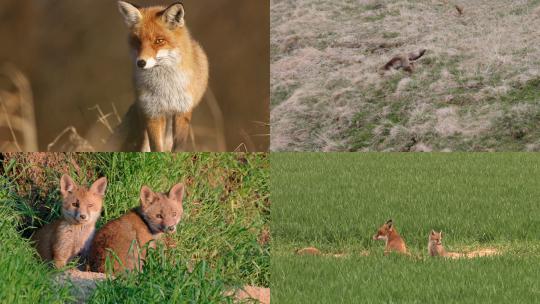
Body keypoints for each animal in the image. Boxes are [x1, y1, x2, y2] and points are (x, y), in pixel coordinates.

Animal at [108, 0, 210, 151]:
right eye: (138, 41)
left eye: (159, 41)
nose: (141, 63)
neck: (165, 87)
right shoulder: (153, 112)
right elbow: (156, 148)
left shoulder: (183, 111)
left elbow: (178, 147)